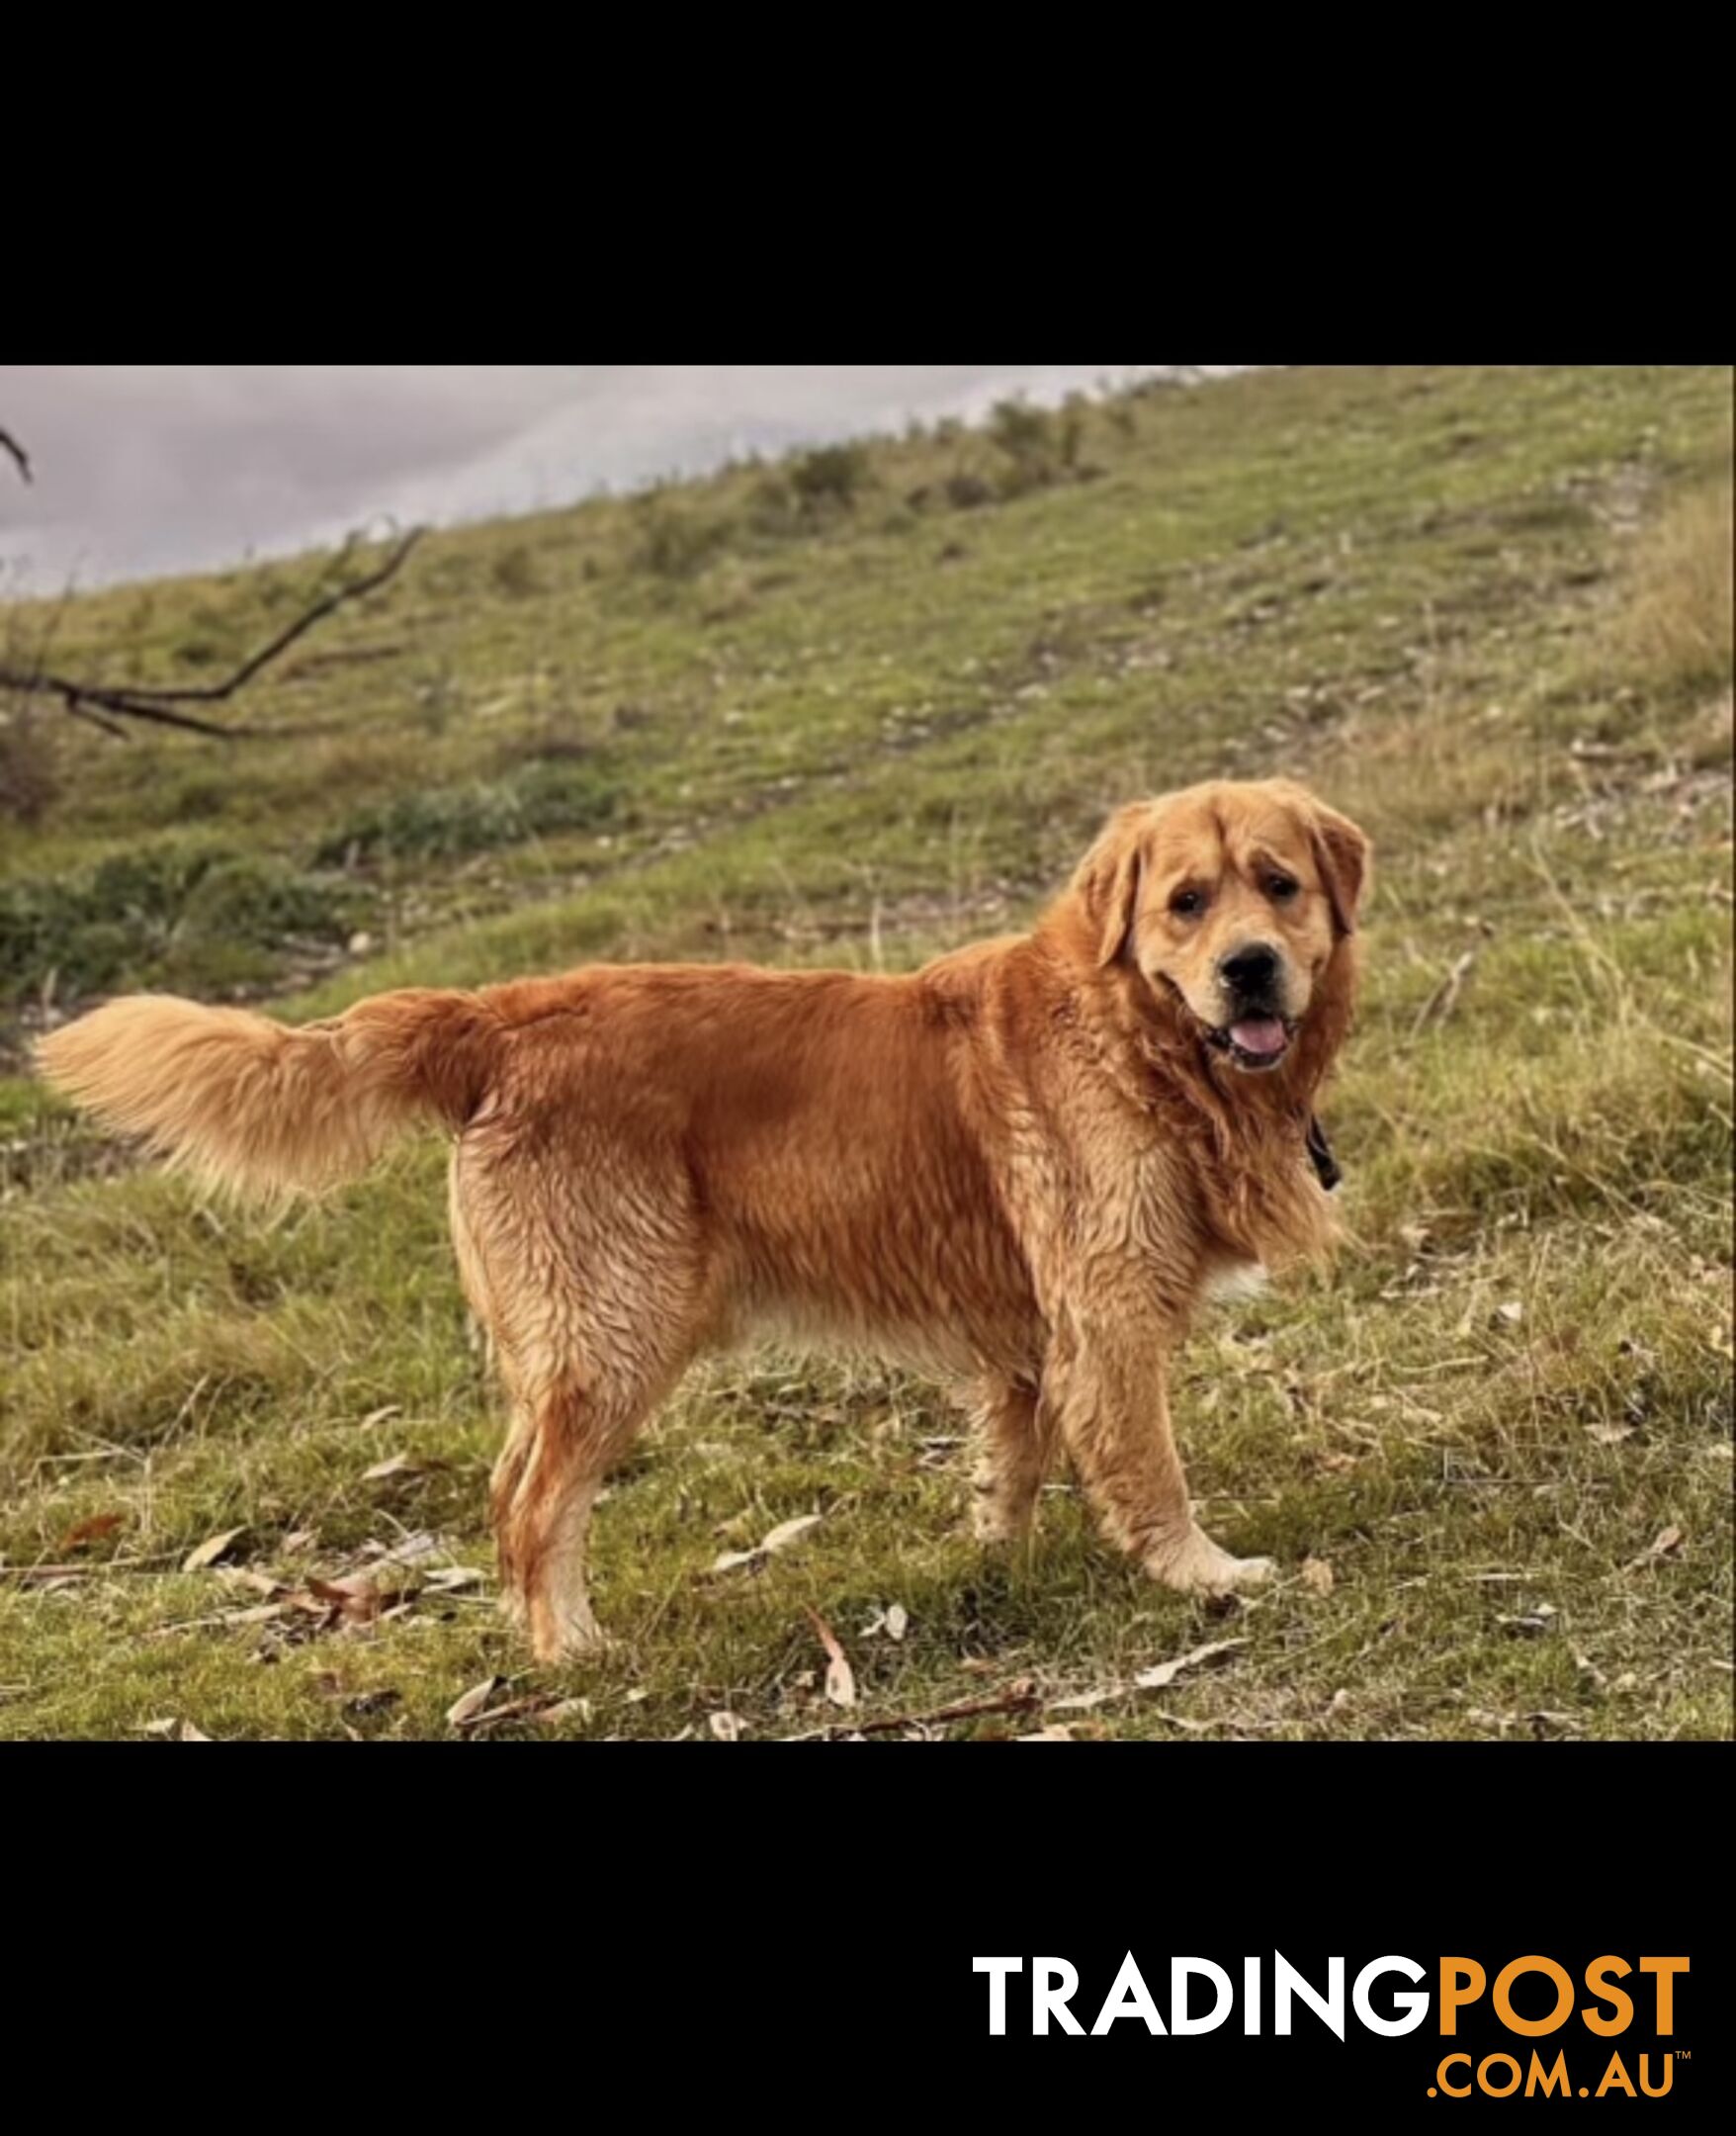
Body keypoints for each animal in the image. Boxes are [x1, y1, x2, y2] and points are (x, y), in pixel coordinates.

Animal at [34, 777, 1366, 1657]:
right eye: (1186, 903)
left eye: (1278, 887)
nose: (1250, 966)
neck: (1141, 1040)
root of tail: (496, 1018)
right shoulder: (1109, 1313)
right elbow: (1149, 1469)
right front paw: (1204, 1577)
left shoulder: (1032, 1336)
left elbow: (1014, 1460)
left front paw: (1003, 1556)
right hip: (616, 1332)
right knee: (531, 1505)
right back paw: (576, 1655)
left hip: (578, 1345)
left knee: (505, 1490)